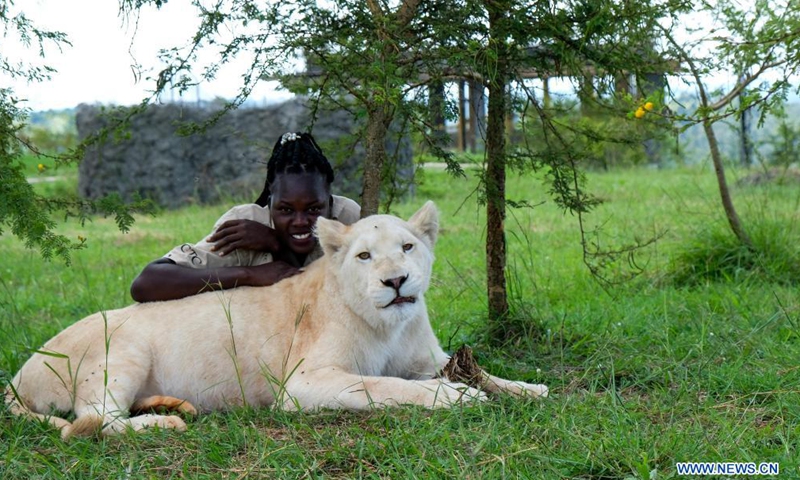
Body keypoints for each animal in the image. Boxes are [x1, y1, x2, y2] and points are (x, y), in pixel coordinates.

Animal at [6, 202, 548, 438]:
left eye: (408, 247)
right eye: (365, 256)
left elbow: (490, 374)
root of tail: (16, 377)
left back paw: (172, 405)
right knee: (92, 420)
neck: (390, 324)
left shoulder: (427, 358)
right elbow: (383, 386)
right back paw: (164, 422)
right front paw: (455, 397)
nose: (396, 282)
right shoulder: (302, 383)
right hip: (122, 349)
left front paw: (530, 388)